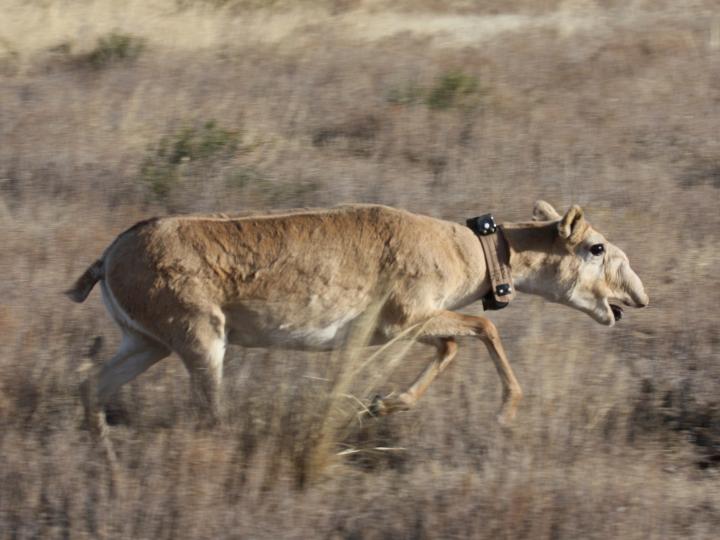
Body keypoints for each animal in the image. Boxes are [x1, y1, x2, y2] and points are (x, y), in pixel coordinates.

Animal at [67, 202, 648, 434]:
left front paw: (382, 403)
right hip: (202, 342)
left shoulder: (392, 333)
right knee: (209, 413)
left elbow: (451, 346)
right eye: (596, 247)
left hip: (147, 344)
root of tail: (110, 253)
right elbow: (484, 328)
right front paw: (506, 411)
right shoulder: (409, 320)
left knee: (92, 384)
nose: (636, 297)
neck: (466, 248)